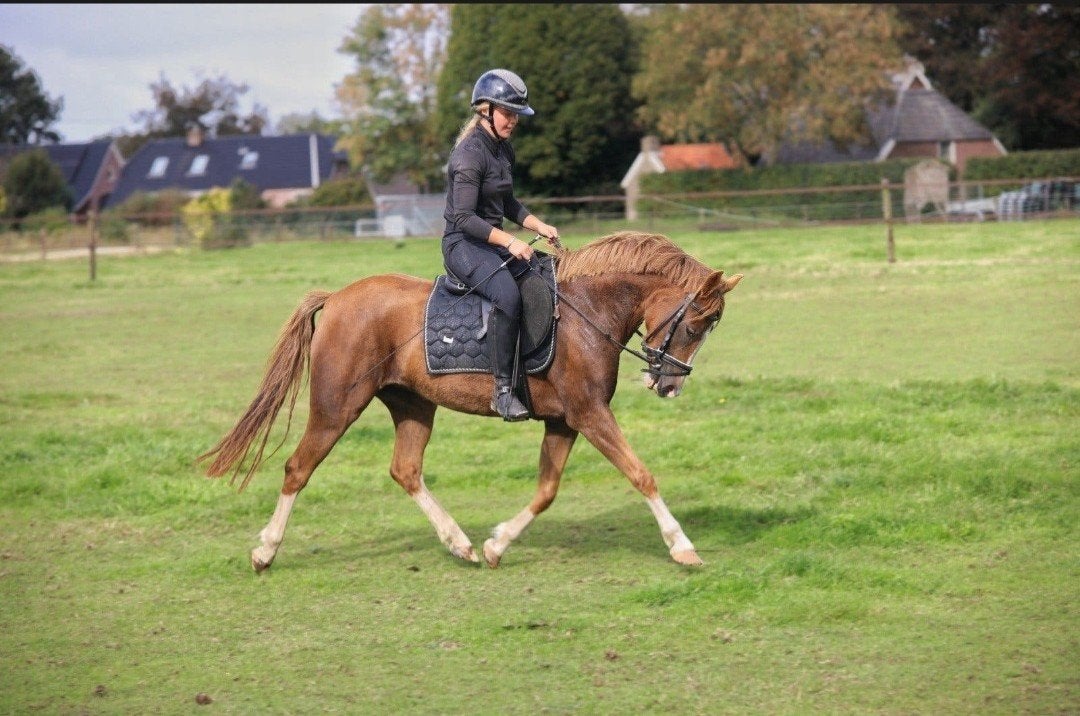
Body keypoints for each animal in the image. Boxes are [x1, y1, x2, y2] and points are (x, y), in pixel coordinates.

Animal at [199, 231, 742, 570]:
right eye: (696, 324)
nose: (669, 386)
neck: (586, 312)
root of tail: (335, 298)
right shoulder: (590, 414)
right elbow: (640, 473)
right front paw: (682, 548)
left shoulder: (565, 420)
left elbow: (546, 491)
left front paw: (497, 544)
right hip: (336, 408)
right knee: (298, 469)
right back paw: (265, 552)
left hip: (413, 405)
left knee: (406, 470)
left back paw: (459, 544)